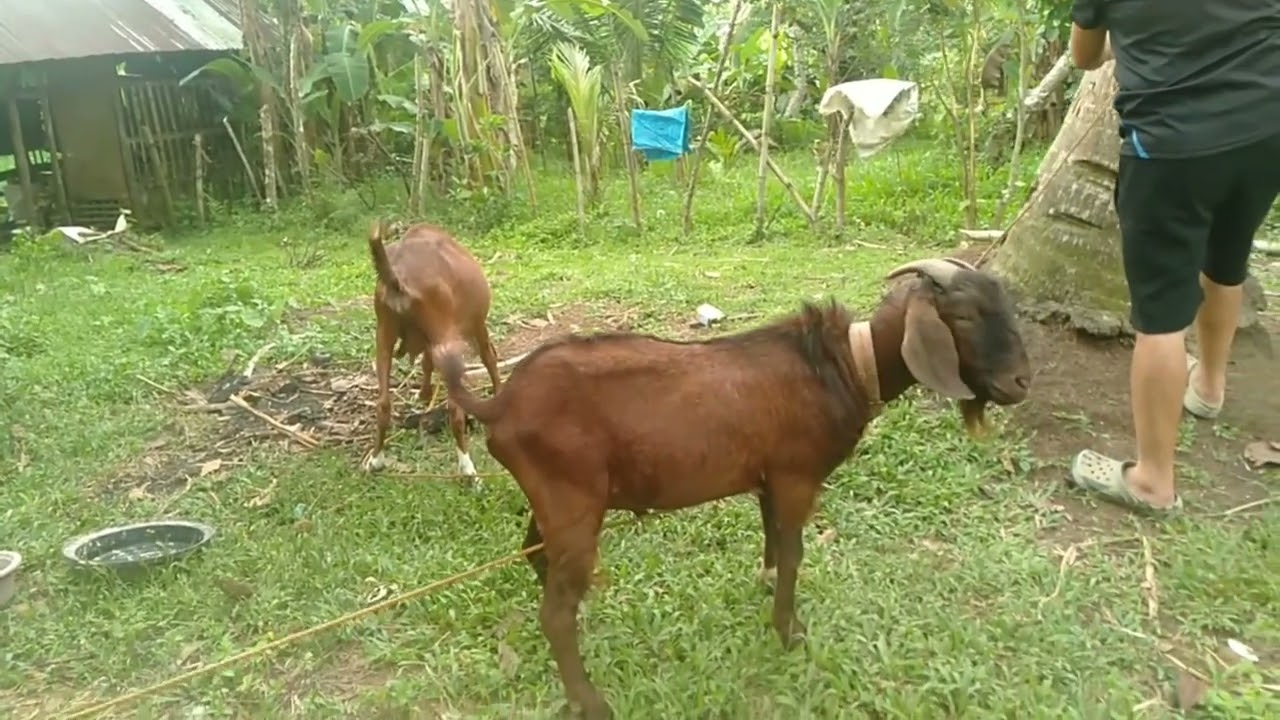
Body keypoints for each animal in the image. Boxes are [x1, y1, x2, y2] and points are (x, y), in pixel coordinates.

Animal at [363, 220, 501, 480]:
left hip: (384, 332)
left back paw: (375, 460)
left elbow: (426, 363)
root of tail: (398, 279)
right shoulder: (477, 325)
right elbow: (489, 357)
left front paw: (424, 394)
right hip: (445, 333)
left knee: (383, 403)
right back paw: (468, 470)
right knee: (455, 410)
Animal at [436, 258, 1031, 719]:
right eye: (964, 315)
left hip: (556, 503)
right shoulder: (796, 476)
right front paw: (790, 633)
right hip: (575, 505)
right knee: (554, 612)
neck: (844, 366)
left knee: (536, 557)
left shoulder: (768, 478)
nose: (1020, 382)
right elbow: (793, 553)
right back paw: (591, 700)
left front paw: (767, 589)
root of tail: (501, 404)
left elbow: (773, 542)